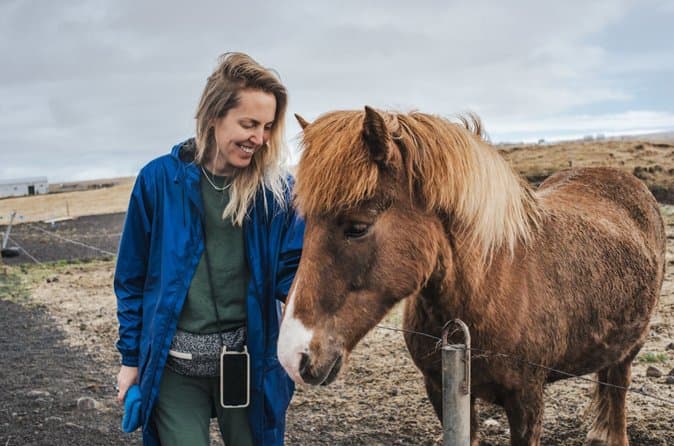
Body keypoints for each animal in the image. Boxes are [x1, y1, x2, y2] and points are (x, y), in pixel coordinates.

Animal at [277, 106, 665, 446]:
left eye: (357, 228)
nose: (292, 356)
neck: (490, 286)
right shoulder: (440, 389)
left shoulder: (527, 401)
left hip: (631, 348)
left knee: (617, 391)